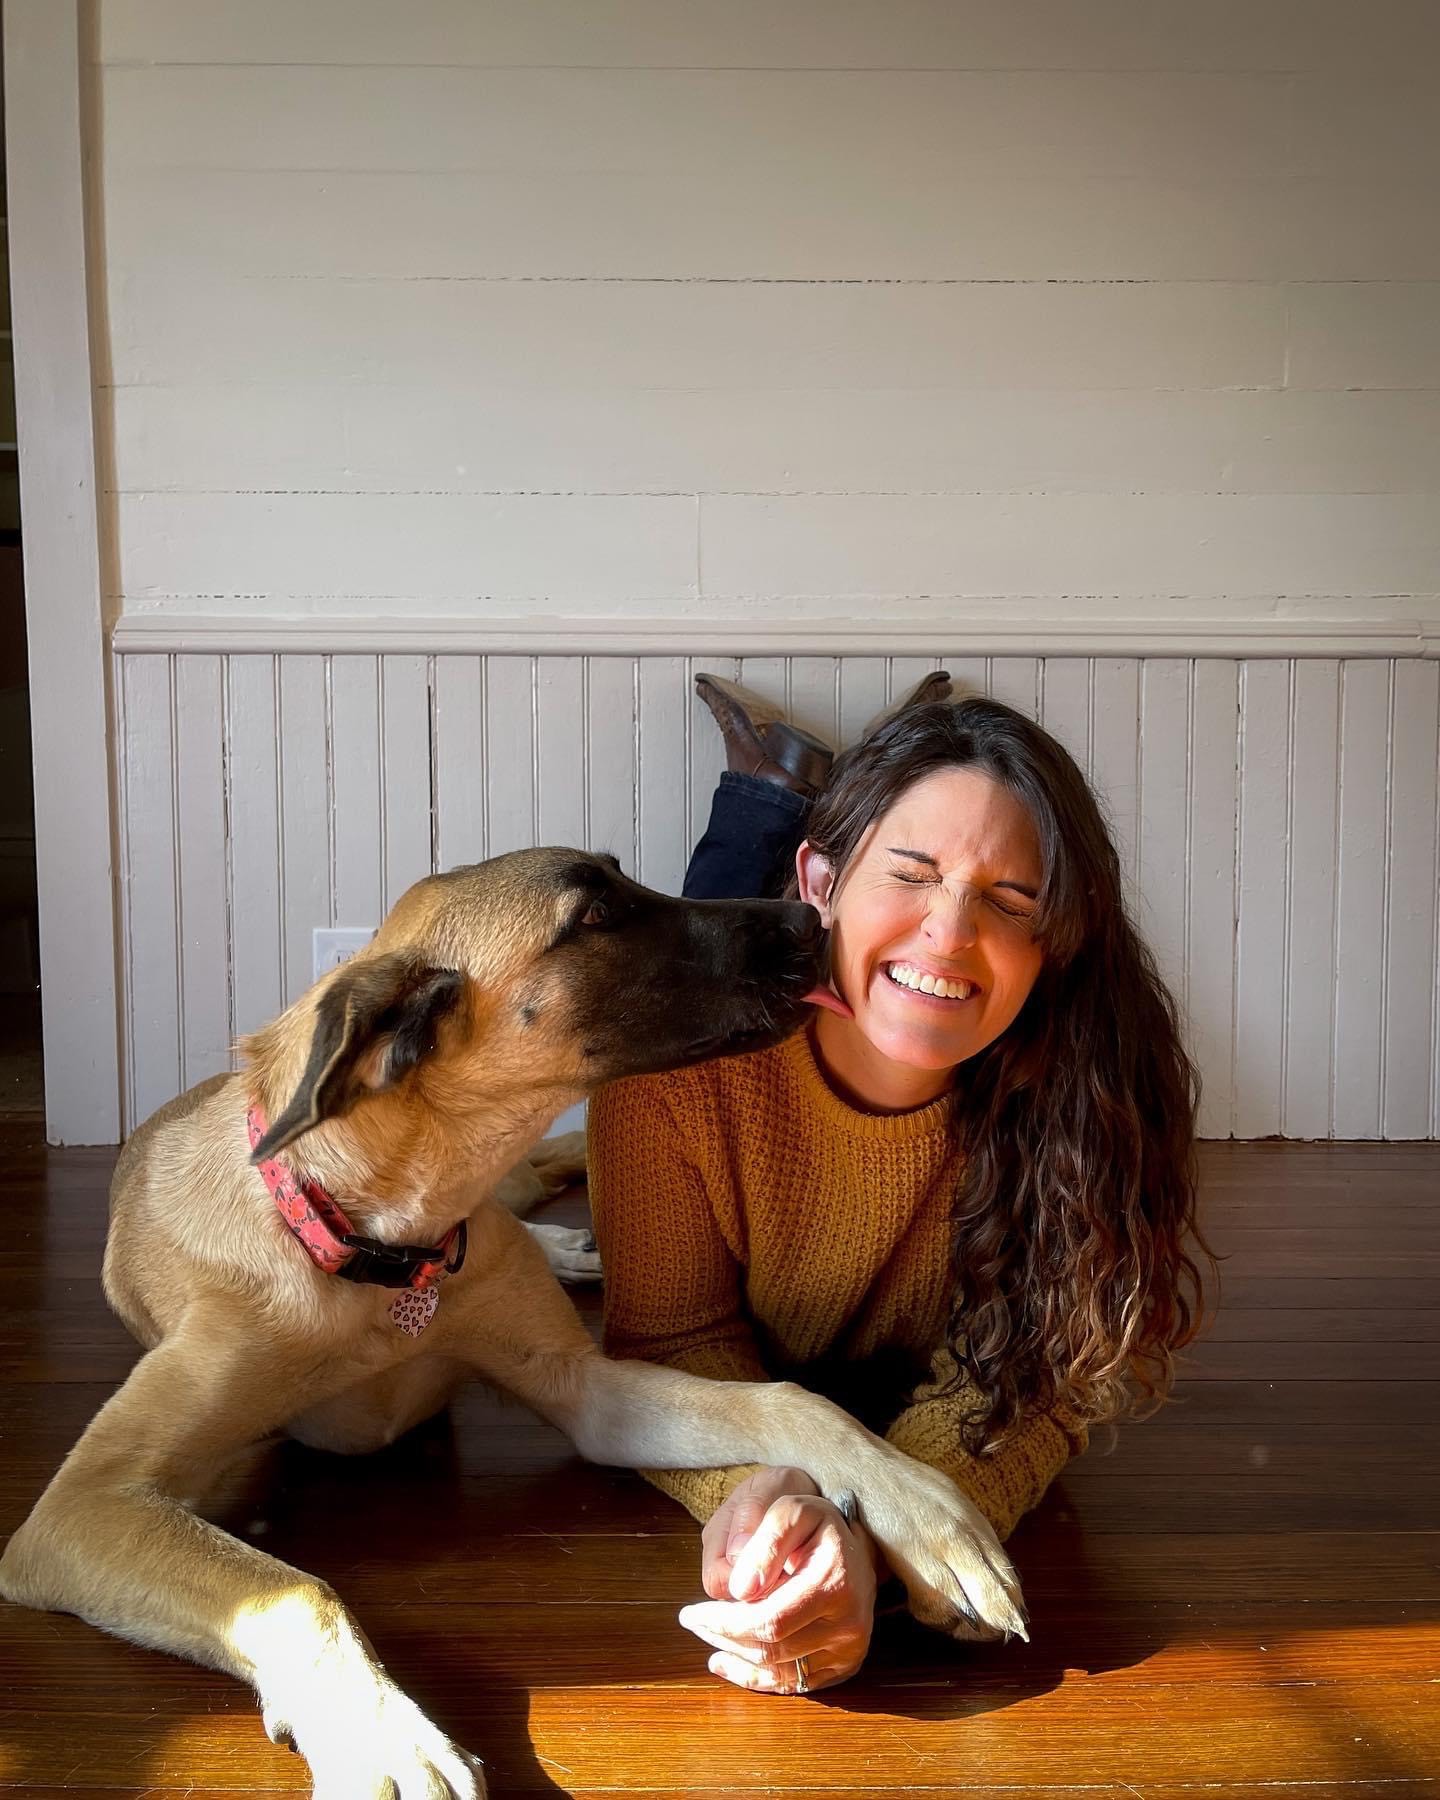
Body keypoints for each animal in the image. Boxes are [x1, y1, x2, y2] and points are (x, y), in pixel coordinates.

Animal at [5, 849, 1029, 1792]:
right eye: (598, 915)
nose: (809, 919)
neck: (391, 1244)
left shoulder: (583, 1389)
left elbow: (787, 1401)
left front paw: (924, 1509)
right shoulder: (81, 1505)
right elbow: (286, 1588)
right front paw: (387, 1739)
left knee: (539, 1172)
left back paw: (572, 1238)